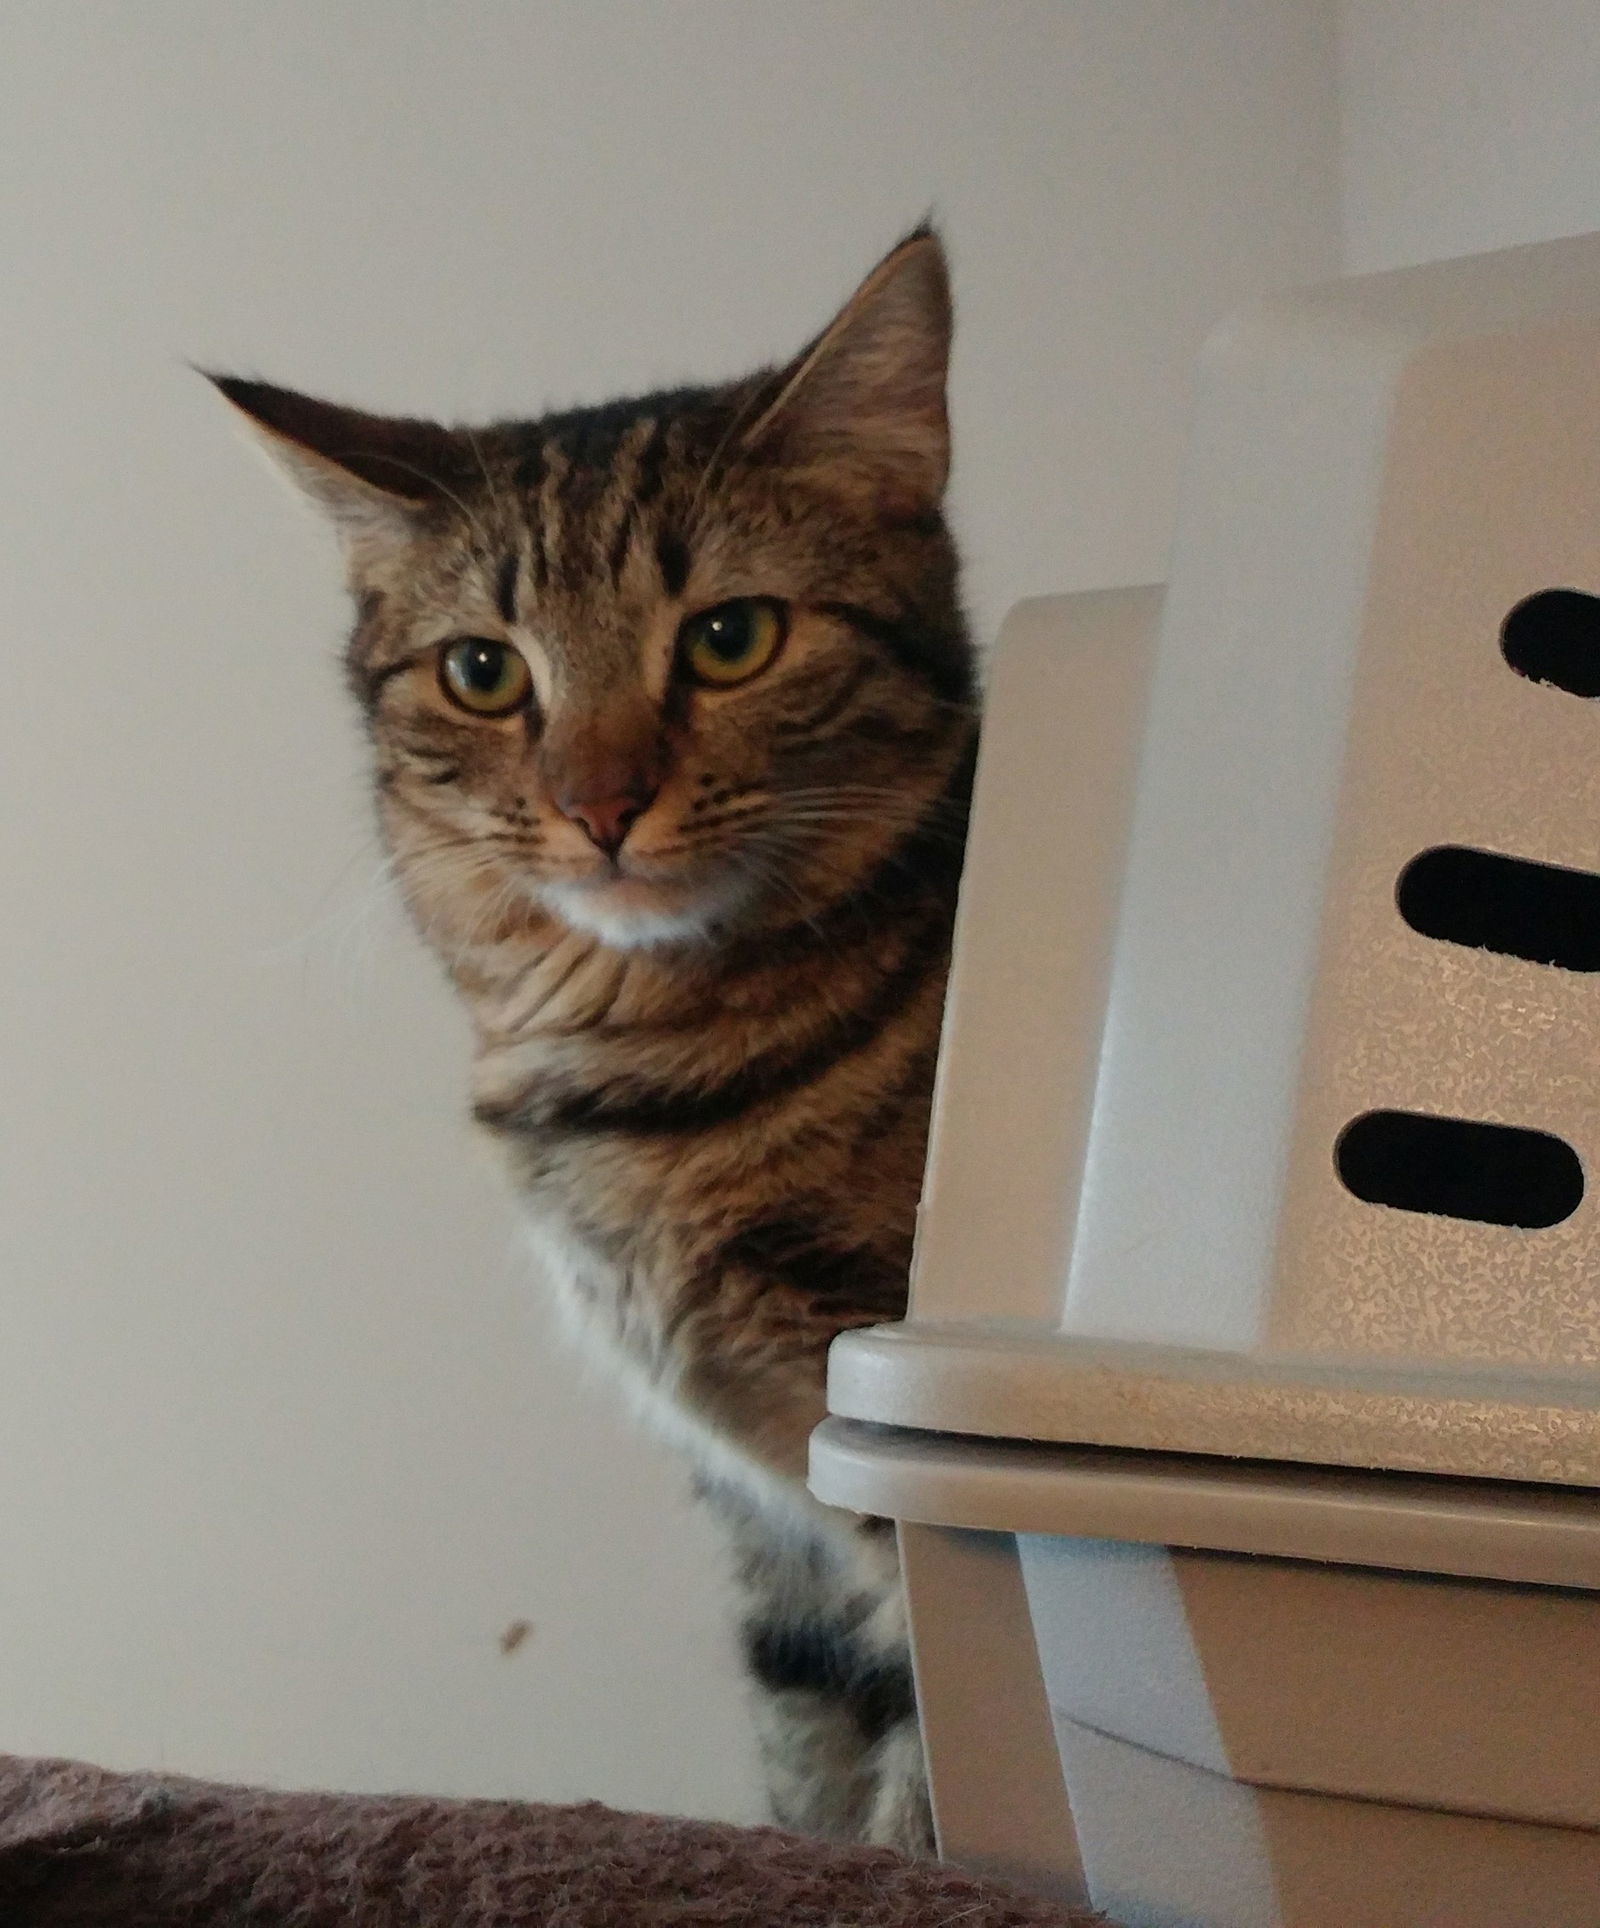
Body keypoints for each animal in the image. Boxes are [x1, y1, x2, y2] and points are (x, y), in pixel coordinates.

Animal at [213, 225, 979, 1850]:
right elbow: (807, 1750)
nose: (599, 802)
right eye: (483, 671)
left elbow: (928, 1797)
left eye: (732, 638)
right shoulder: (762, 1515)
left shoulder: (891, 1462)